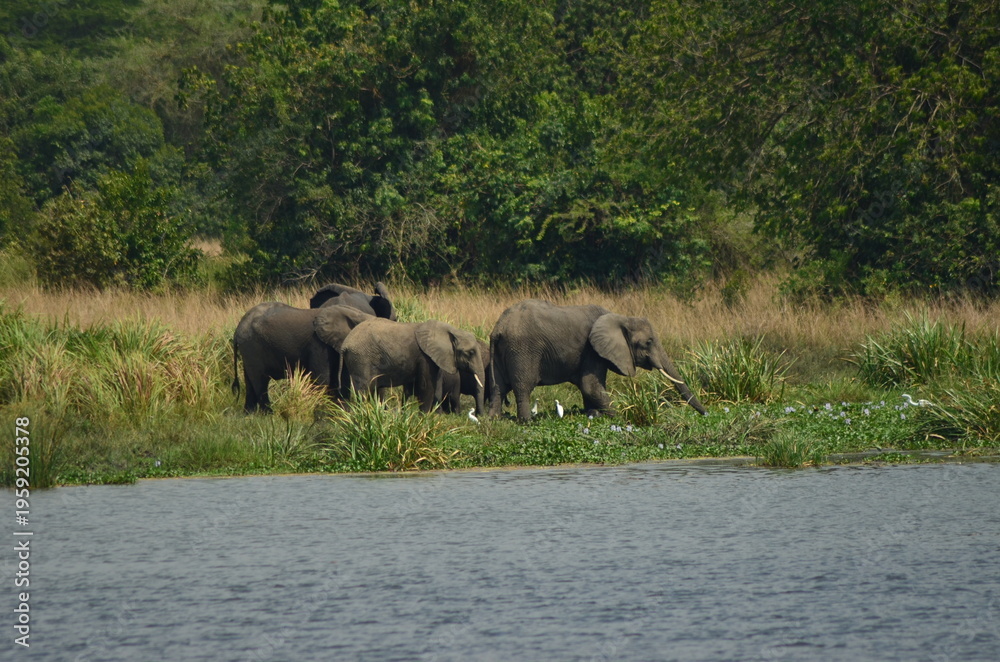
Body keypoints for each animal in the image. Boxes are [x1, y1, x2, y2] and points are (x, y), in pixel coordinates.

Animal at [232, 302, 372, 412]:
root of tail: (238, 327)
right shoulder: (318, 345)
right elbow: (323, 378)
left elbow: (343, 379)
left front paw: (341, 412)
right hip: (252, 346)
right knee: (260, 380)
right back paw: (268, 414)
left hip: (248, 348)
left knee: (249, 380)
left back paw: (249, 413)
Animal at [341, 318, 487, 415]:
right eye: (470, 353)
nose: (479, 417)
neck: (451, 331)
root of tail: (345, 344)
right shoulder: (425, 357)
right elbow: (427, 386)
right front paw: (424, 417)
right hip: (361, 359)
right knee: (364, 390)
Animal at [488, 299, 707, 421]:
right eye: (649, 342)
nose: (706, 414)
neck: (620, 317)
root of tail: (499, 327)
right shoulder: (592, 350)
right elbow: (590, 385)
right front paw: (621, 416)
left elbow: (587, 386)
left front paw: (593, 415)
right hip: (523, 349)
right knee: (523, 387)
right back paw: (527, 422)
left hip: (503, 350)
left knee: (498, 387)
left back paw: (493, 420)